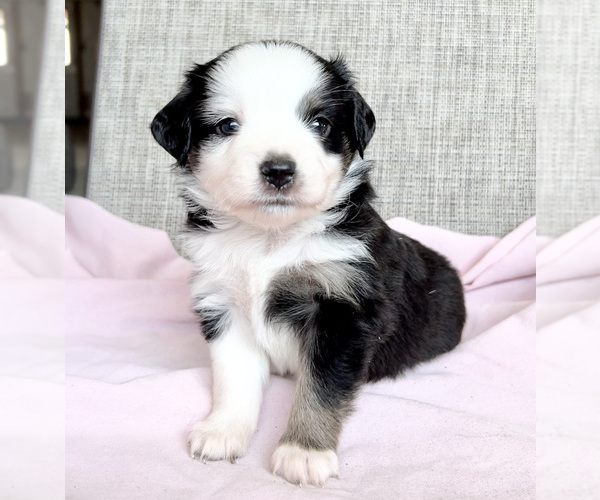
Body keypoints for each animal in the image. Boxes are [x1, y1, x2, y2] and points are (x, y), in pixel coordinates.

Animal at [151, 41, 468, 486]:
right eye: (228, 125)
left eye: (320, 123)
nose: (279, 170)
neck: (269, 239)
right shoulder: (224, 304)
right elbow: (234, 377)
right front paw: (223, 431)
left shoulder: (343, 313)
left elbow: (321, 389)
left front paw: (304, 451)